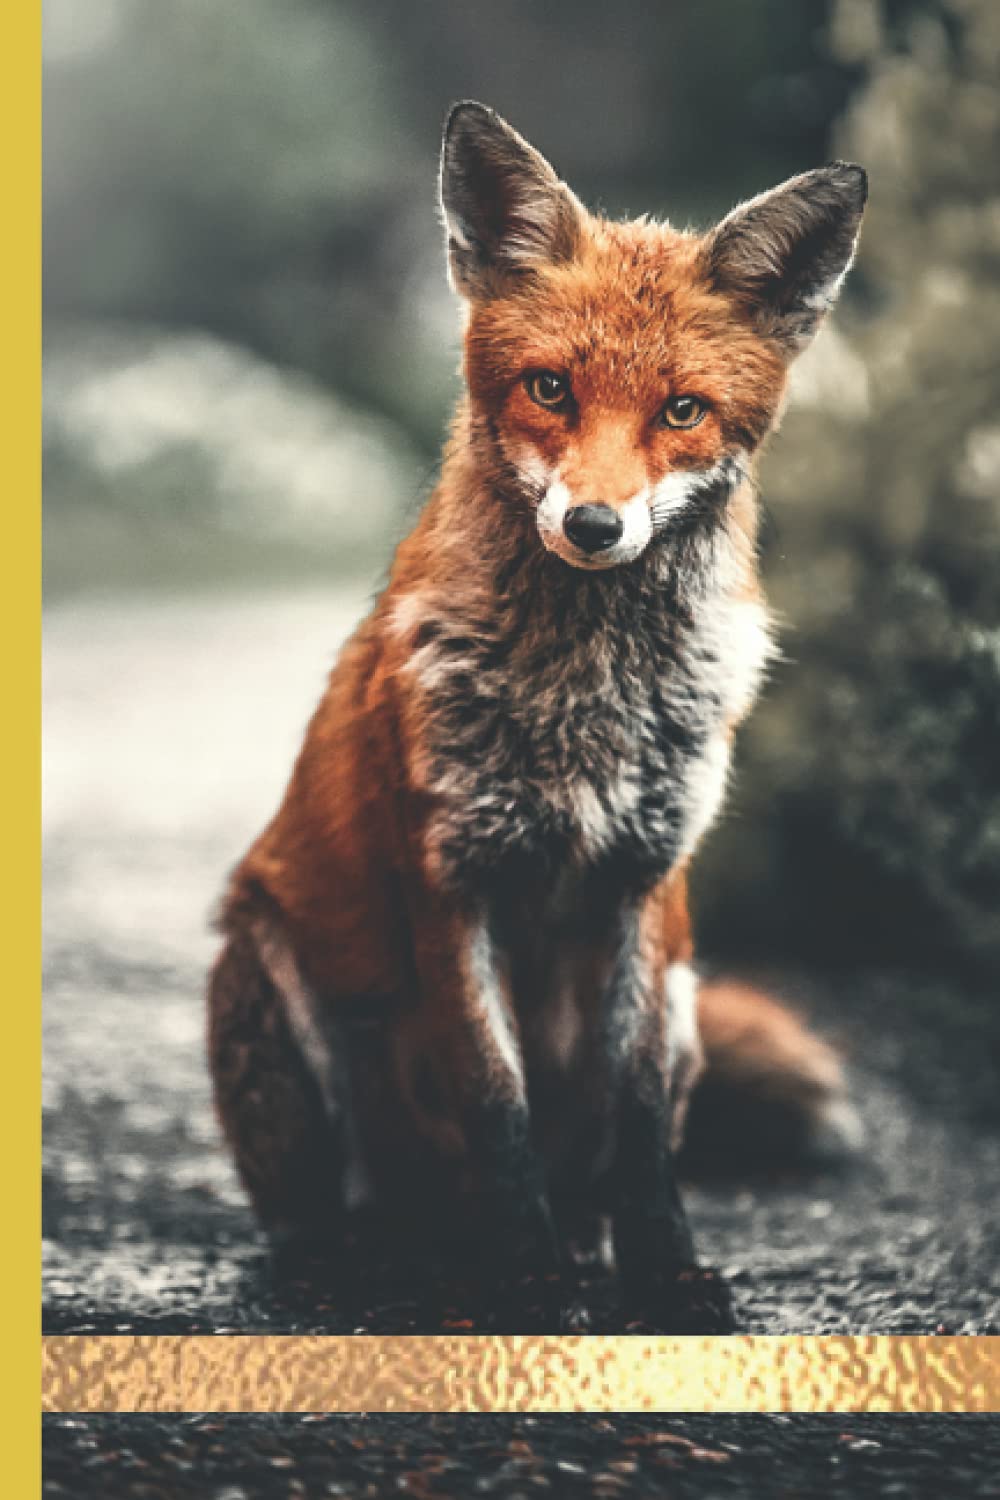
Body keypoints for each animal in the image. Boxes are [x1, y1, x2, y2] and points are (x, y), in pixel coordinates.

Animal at [207, 102, 868, 1332]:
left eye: (682, 410)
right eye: (551, 388)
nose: (596, 526)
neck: (585, 702)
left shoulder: (647, 887)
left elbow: (640, 1122)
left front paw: (663, 1272)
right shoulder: (450, 879)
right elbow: (494, 1101)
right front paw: (526, 1279)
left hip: (689, 992)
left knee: (595, 1165)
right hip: (269, 977)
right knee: (331, 1212)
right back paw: (372, 1260)